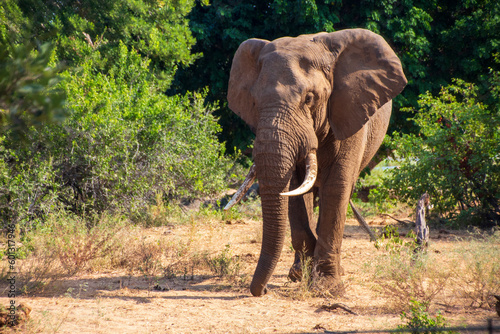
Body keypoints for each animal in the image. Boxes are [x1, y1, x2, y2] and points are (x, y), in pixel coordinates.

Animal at [225, 28, 408, 294]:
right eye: (255, 102)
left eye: (309, 98)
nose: (263, 290)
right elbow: (294, 190)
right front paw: (301, 275)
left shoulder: (350, 109)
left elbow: (336, 187)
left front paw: (327, 287)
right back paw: (298, 272)